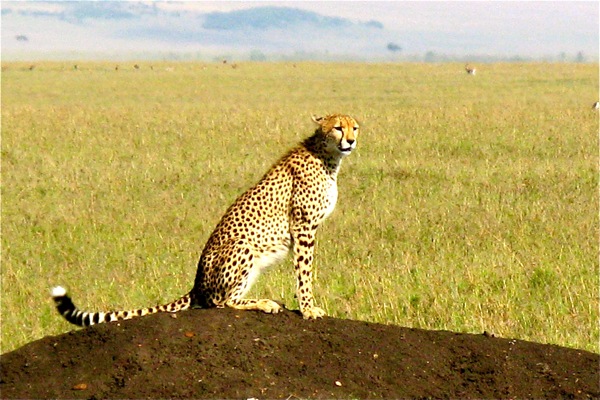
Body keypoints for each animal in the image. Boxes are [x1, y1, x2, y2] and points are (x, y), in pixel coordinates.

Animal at [51, 113, 358, 324]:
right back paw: (264, 303)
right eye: (337, 127)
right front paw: (308, 309)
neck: (326, 154)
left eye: (354, 127)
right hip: (242, 246)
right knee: (222, 301)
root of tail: (196, 283)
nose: (352, 140)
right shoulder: (303, 227)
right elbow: (304, 272)